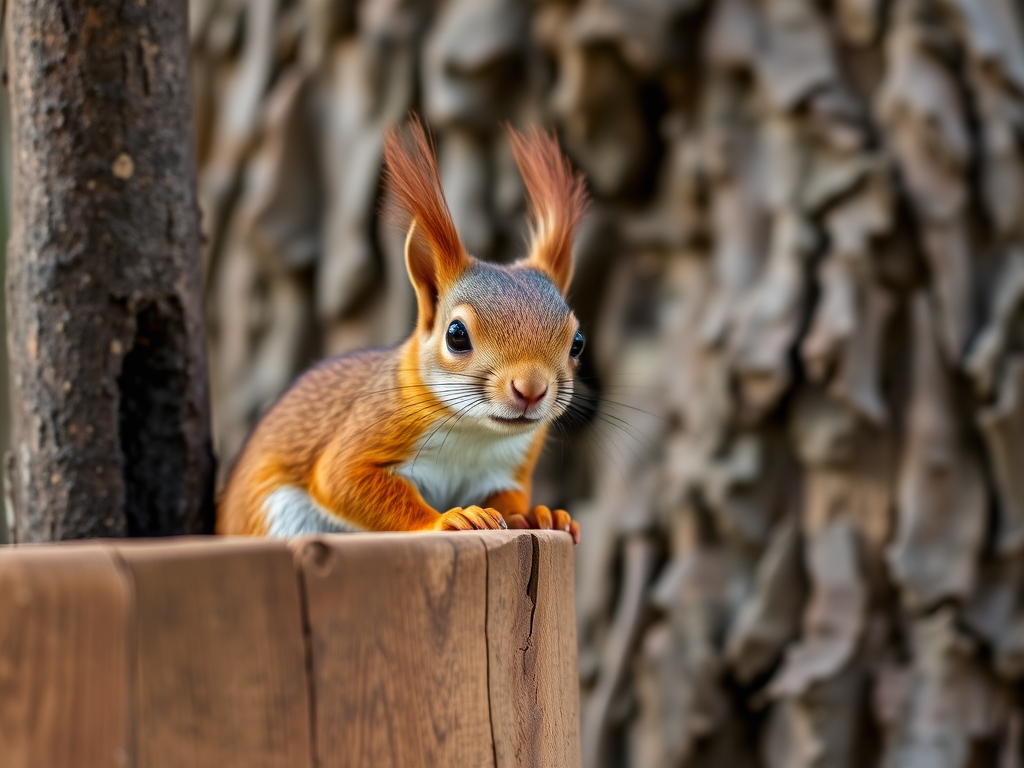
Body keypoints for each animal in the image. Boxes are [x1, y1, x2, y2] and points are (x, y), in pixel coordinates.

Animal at [216, 117, 586, 543]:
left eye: (577, 343)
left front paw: (540, 515)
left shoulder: (510, 469)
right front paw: (448, 520)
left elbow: (509, 500)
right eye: (456, 335)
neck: (475, 434)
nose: (531, 389)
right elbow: (343, 479)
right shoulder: (374, 428)